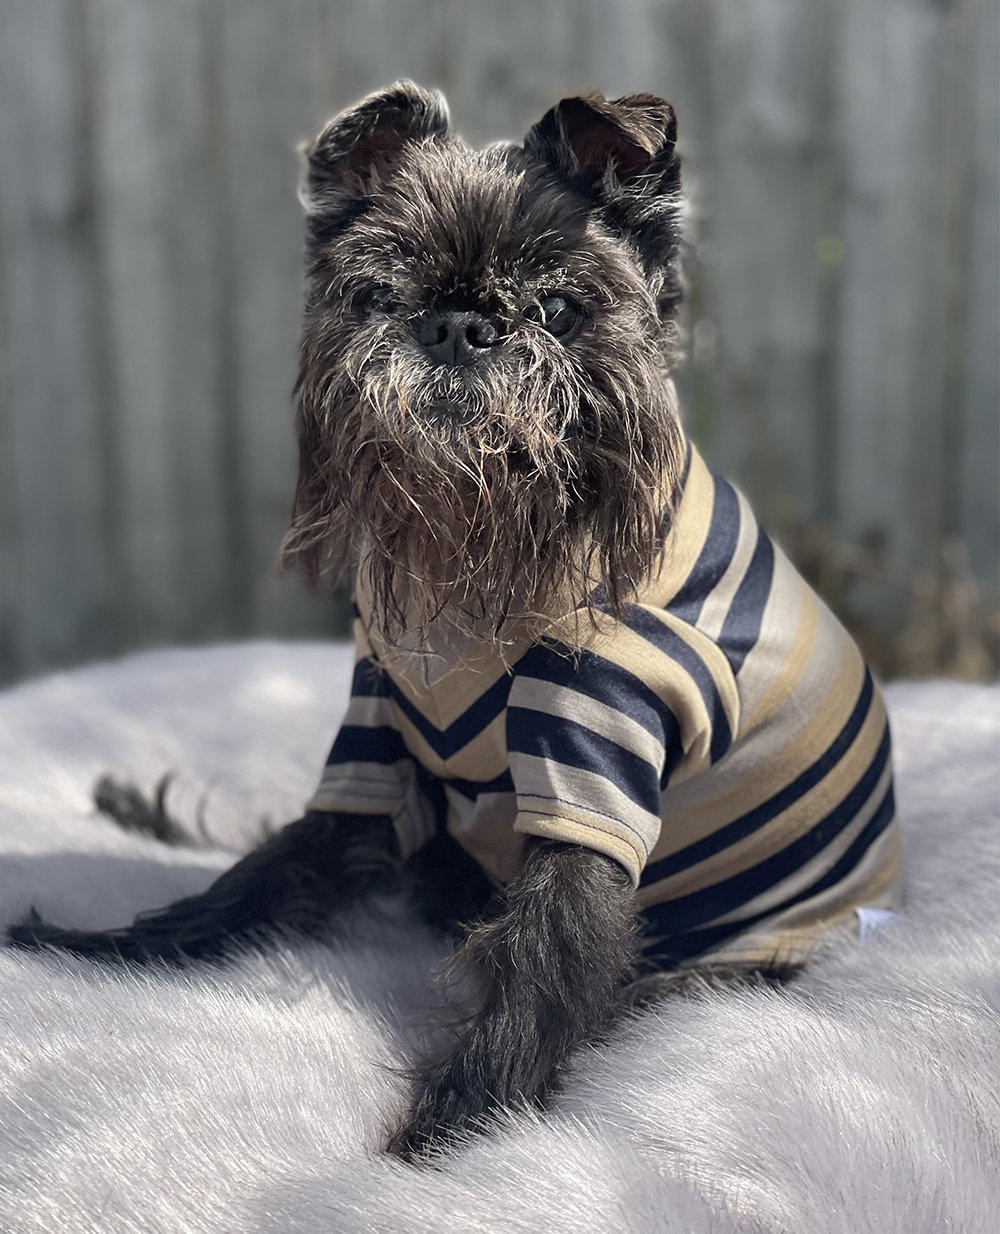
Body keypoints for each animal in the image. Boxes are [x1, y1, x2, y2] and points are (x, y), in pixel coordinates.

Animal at [7, 82, 898, 1159]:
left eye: (558, 308)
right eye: (374, 294)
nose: (460, 325)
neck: (483, 565)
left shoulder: (593, 762)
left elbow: (550, 950)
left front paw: (459, 1126)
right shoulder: (374, 742)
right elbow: (264, 870)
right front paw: (99, 943)